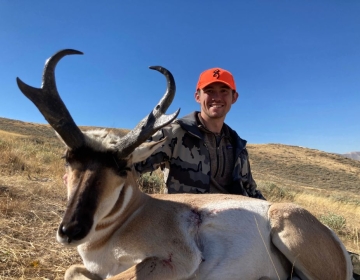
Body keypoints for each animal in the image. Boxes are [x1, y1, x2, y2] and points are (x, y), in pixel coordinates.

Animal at [18, 49, 352, 278]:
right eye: (68, 158)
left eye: (123, 167)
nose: (71, 230)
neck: (133, 213)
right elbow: (72, 270)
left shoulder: (176, 261)